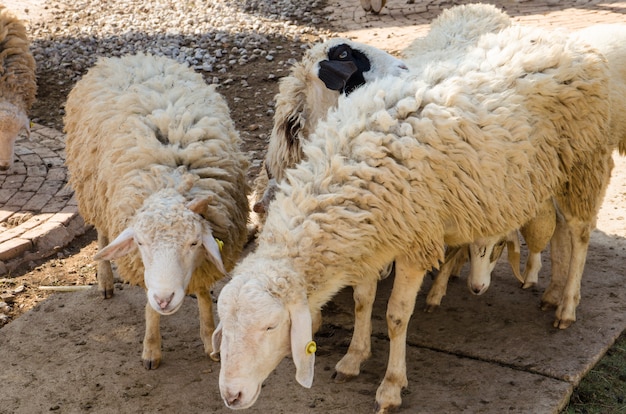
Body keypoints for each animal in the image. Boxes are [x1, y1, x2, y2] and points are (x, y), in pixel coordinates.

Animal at [62, 52, 249, 368]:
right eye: (139, 243)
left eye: (194, 243)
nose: (164, 298)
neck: (172, 178)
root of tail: (128, 57)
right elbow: (149, 307)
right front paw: (151, 348)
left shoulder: (205, 260)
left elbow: (203, 293)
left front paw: (208, 338)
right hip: (94, 189)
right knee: (102, 234)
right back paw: (105, 280)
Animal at [212, 24, 612, 412]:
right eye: (225, 326)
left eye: (271, 326)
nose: (231, 395)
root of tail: (567, 41)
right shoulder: (372, 238)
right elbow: (362, 300)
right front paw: (354, 357)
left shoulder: (414, 242)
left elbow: (395, 316)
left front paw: (391, 386)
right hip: (546, 175)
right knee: (560, 230)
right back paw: (551, 291)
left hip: (584, 162)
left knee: (579, 234)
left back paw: (567, 306)